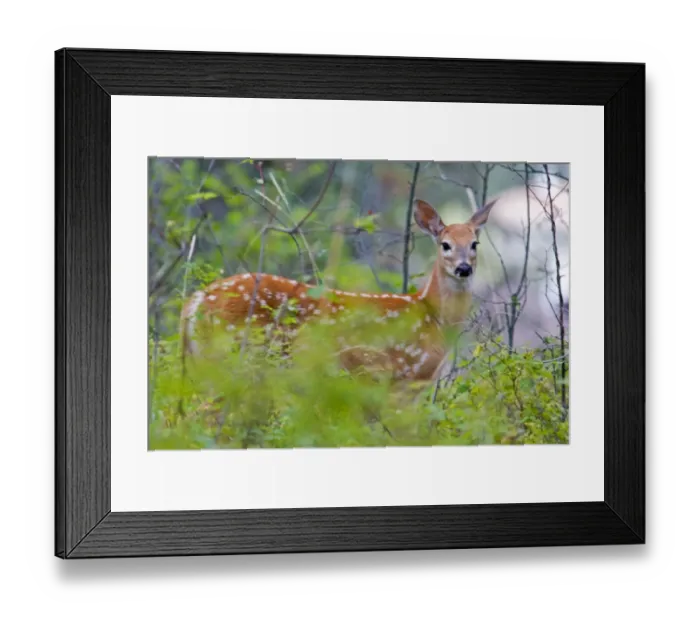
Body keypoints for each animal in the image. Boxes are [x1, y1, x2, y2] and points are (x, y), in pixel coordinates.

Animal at [180, 197, 498, 390]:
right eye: (445, 244)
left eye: (474, 244)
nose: (463, 268)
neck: (432, 317)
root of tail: (196, 302)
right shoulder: (399, 377)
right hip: (232, 356)